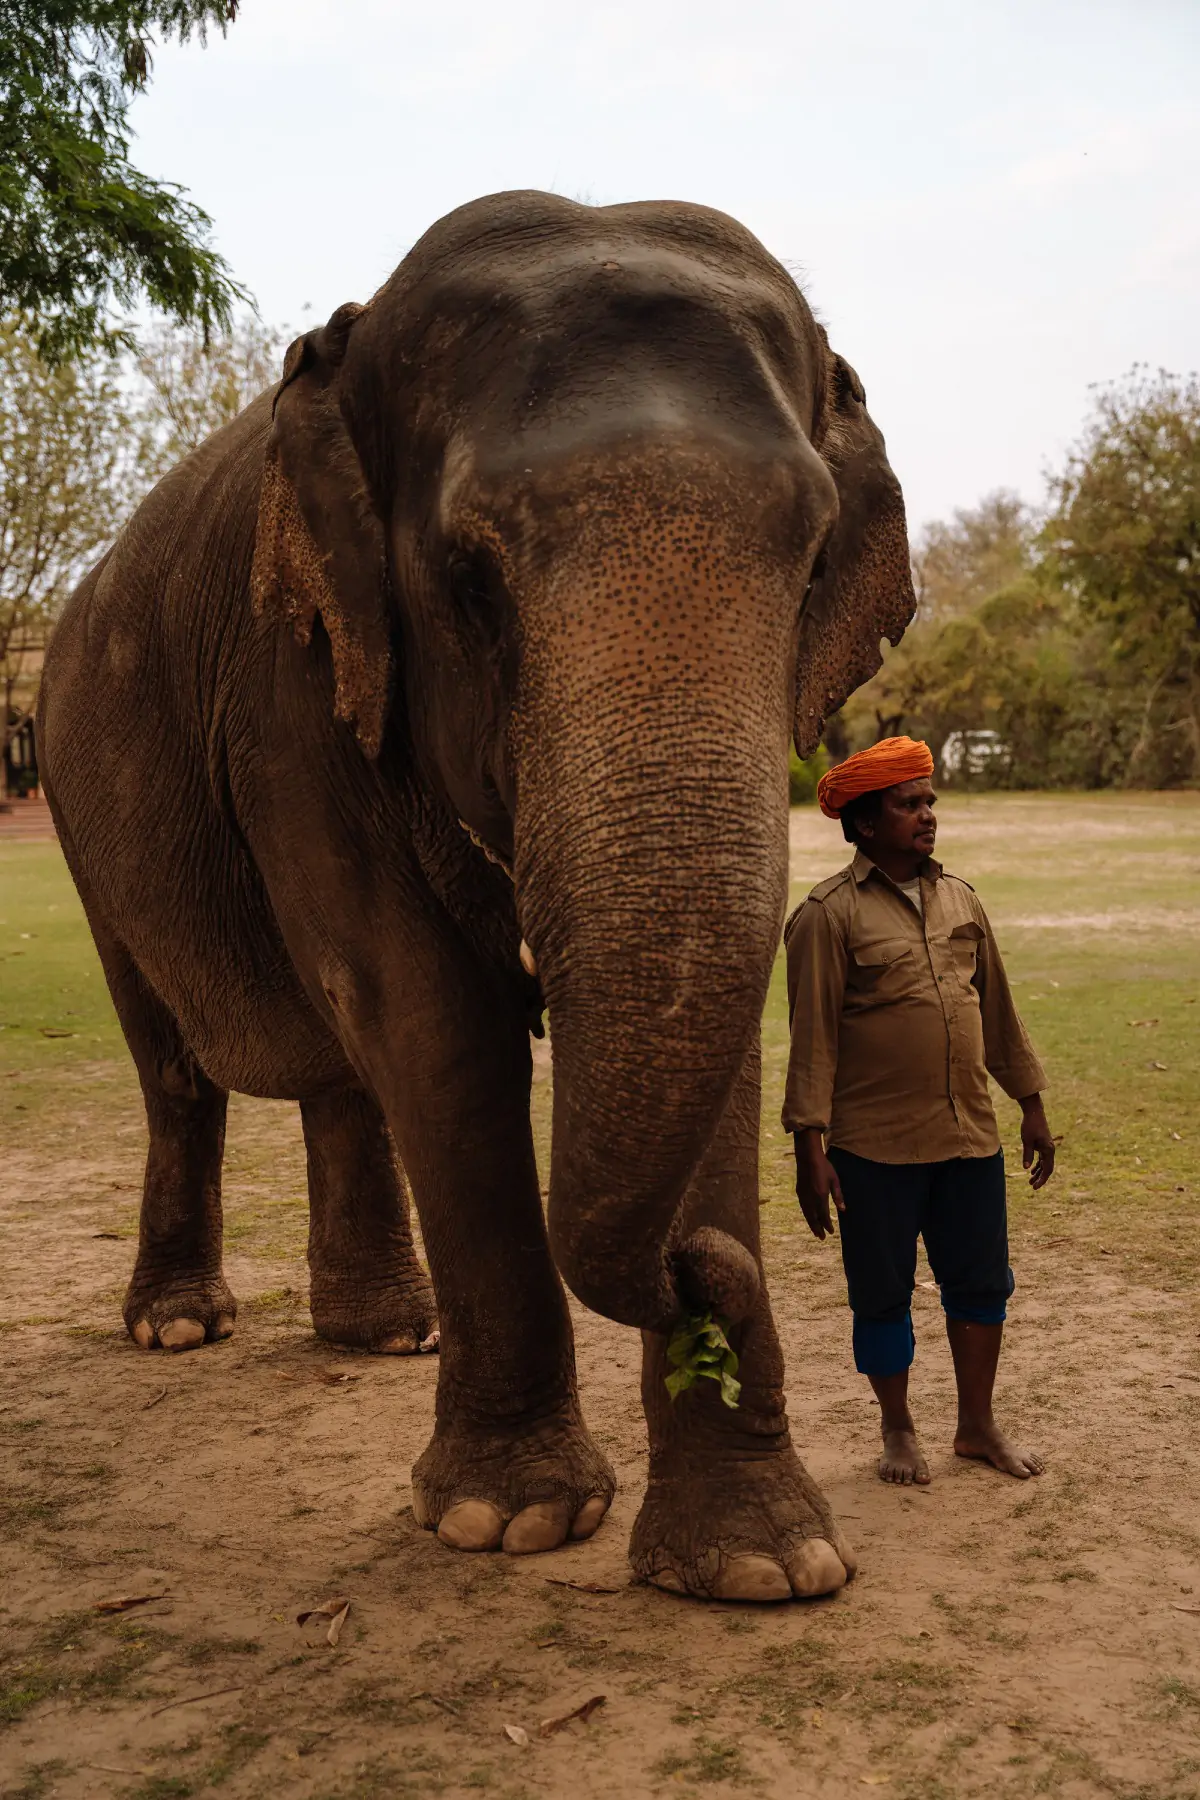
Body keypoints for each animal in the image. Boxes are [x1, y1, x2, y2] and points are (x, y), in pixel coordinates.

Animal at [39, 193, 921, 1605]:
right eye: (467, 577)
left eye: (810, 560)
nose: (699, 1278)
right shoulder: (296, 687)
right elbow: (432, 1017)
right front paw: (505, 1522)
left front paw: (760, 1565)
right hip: (81, 810)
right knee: (177, 1062)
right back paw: (178, 1327)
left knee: (341, 1072)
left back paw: (384, 1334)